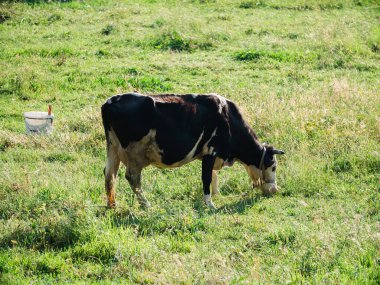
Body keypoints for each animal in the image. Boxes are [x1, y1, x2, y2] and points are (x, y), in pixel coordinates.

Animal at [101, 93, 284, 209]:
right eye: (274, 166)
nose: (275, 190)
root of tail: (111, 101)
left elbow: (214, 177)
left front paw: (216, 195)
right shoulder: (211, 151)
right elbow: (207, 177)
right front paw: (210, 204)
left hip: (113, 149)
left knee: (110, 175)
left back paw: (112, 205)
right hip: (134, 154)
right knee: (132, 177)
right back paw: (146, 204)